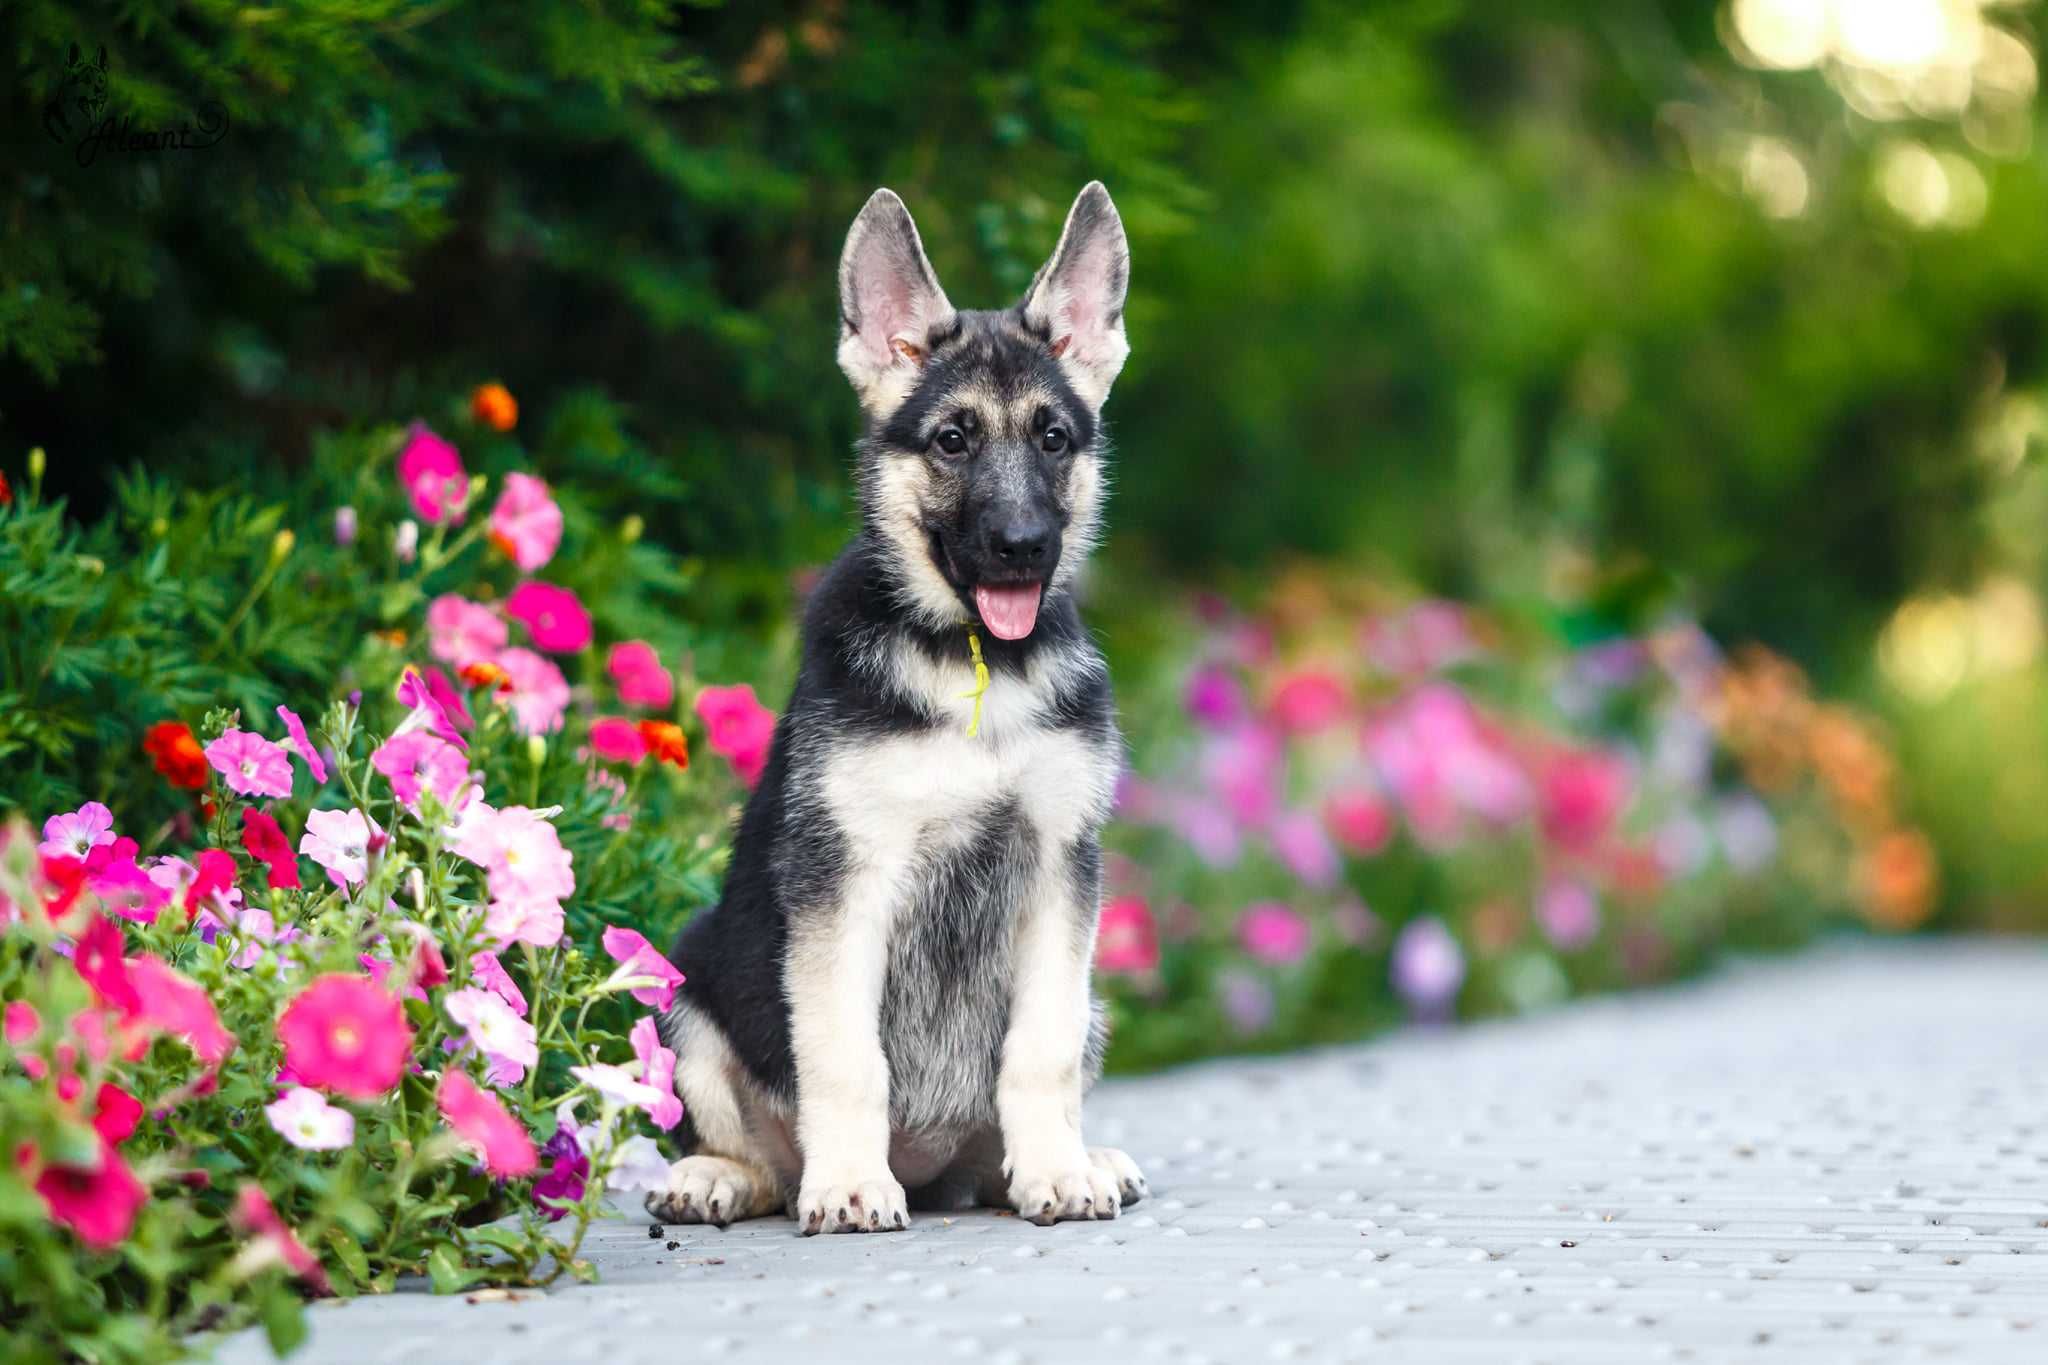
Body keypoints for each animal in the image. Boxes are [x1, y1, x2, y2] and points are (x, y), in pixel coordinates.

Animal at [651, 184, 1146, 1236]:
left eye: (1053, 437)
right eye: (952, 439)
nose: (1023, 546)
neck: (977, 668)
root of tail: (932, 1169)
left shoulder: (1059, 871)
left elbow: (1036, 1053)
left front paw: (1057, 1169)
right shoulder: (847, 881)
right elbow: (845, 1058)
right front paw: (847, 1181)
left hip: (1094, 1008)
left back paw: (1067, 1158)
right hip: (692, 979)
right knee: (755, 1149)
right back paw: (726, 1176)